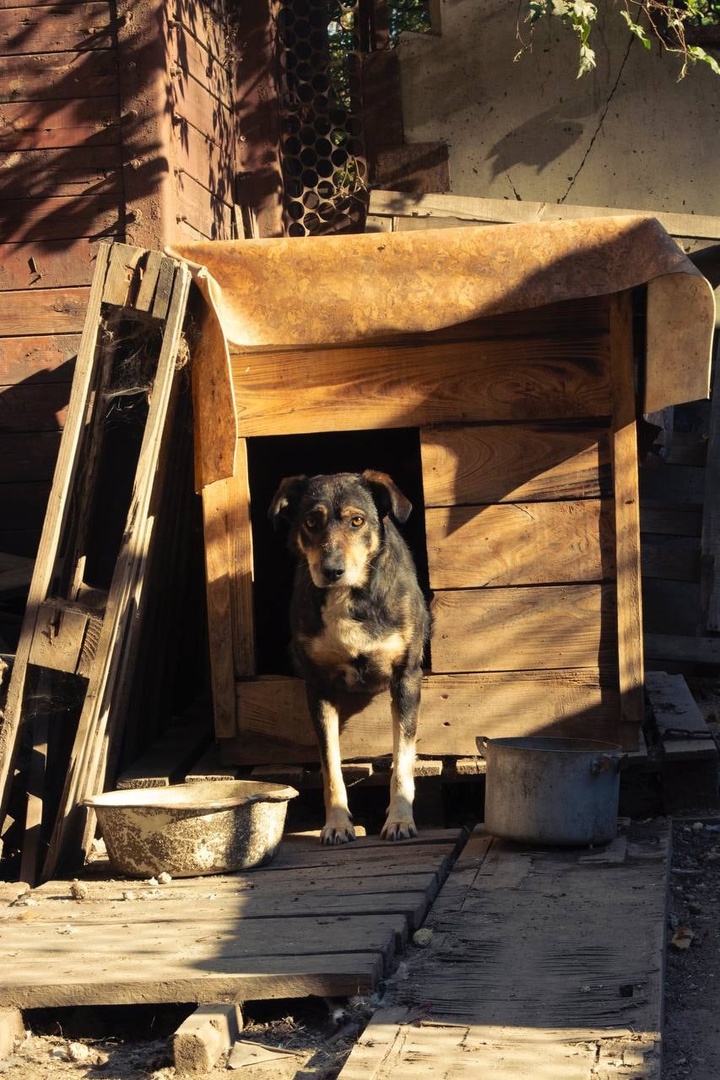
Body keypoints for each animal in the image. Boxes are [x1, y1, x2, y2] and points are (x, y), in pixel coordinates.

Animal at [268, 468, 427, 846]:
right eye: (311, 521)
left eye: (357, 520)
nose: (332, 570)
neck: (347, 594)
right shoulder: (318, 686)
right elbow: (330, 765)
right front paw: (337, 823)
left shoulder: (407, 678)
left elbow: (403, 760)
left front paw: (400, 820)